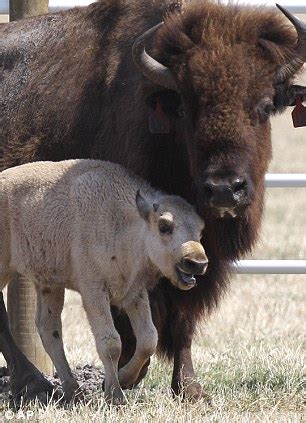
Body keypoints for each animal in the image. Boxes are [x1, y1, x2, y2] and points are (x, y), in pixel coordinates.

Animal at [0, 159, 208, 404]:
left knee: (49, 329)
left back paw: (73, 391)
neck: (126, 222)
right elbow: (110, 343)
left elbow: (148, 338)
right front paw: (115, 394)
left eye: (200, 229)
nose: (197, 262)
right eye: (164, 226)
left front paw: (124, 379)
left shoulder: (134, 293)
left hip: (49, 285)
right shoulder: (93, 291)